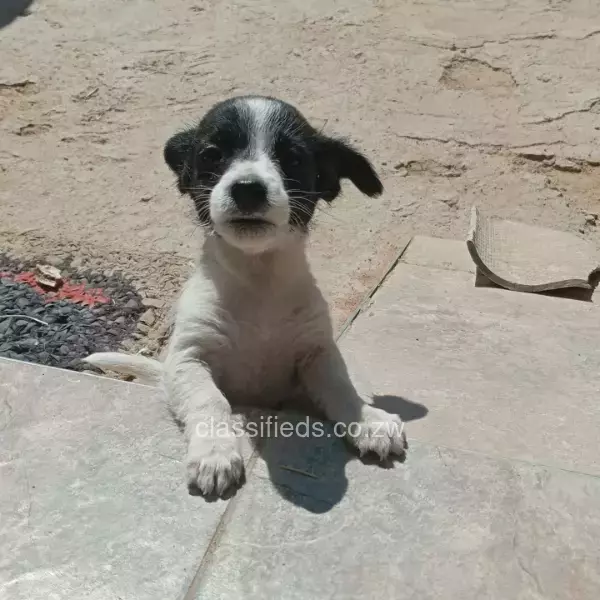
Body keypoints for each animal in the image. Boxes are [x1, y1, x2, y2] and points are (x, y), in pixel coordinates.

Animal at [86, 95, 406, 496]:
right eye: (211, 154)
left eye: (294, 159)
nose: (249, 188)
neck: (258, 280)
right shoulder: (188, 357)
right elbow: (211, 400)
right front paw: (215, 452)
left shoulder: (316, 351)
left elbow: (341, 385)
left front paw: (368, 419)